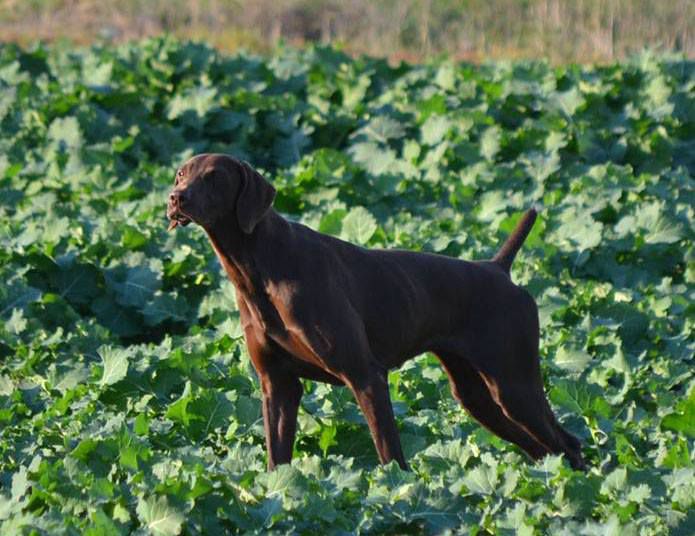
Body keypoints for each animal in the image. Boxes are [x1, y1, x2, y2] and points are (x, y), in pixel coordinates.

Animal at [166, 154, 584, 468]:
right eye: (181, 173)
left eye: (215, 178)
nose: (175, 198)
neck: (257, 265)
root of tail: (497, 268)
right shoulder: (278, 386)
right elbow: (276, 460)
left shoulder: (366, 376)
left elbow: (390, 456)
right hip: (478, 398)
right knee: (543, 450)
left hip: (515, 386)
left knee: (568, 444)